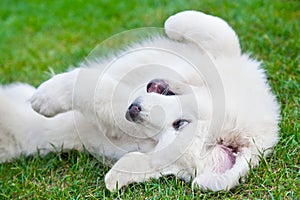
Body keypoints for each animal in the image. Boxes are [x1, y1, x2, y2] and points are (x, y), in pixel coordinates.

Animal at [1, 10, 280, 191]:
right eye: (181, 123)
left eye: (175, 127)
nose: (134, 109)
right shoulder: (230, 58)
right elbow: (220, 31)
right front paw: (174, 22)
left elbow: (100, 92)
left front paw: (47, 97)